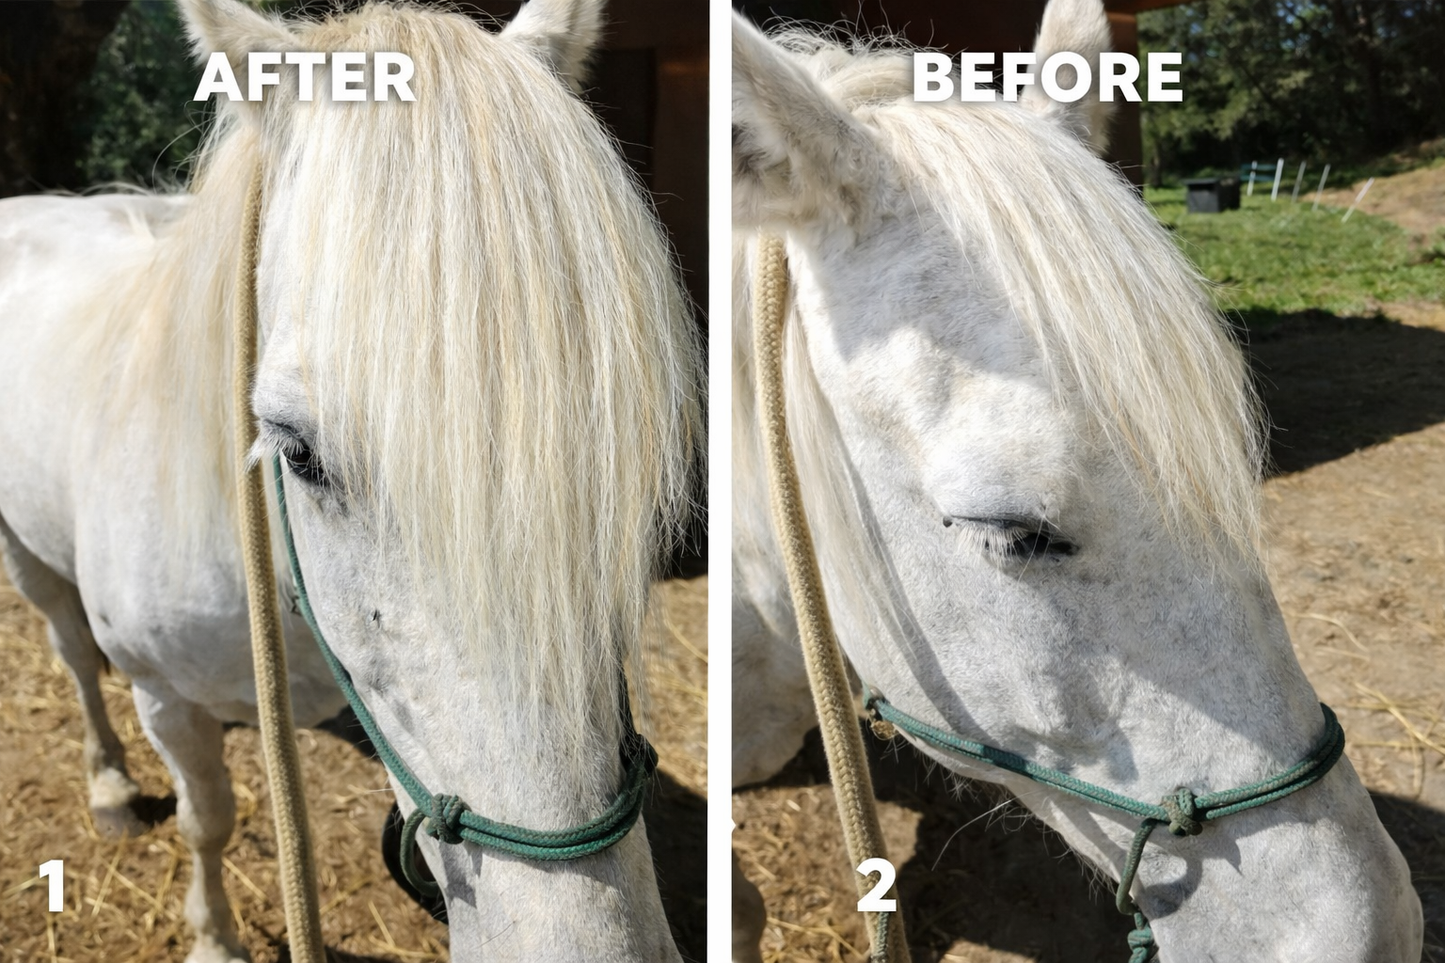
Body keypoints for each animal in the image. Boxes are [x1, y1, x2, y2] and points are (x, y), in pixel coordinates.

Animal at [0, 0, 702, 960]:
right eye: (296, 451)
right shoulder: (164, 696)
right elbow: (206, 819)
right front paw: (213, 935)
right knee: (71, 651)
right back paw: (108, 783)